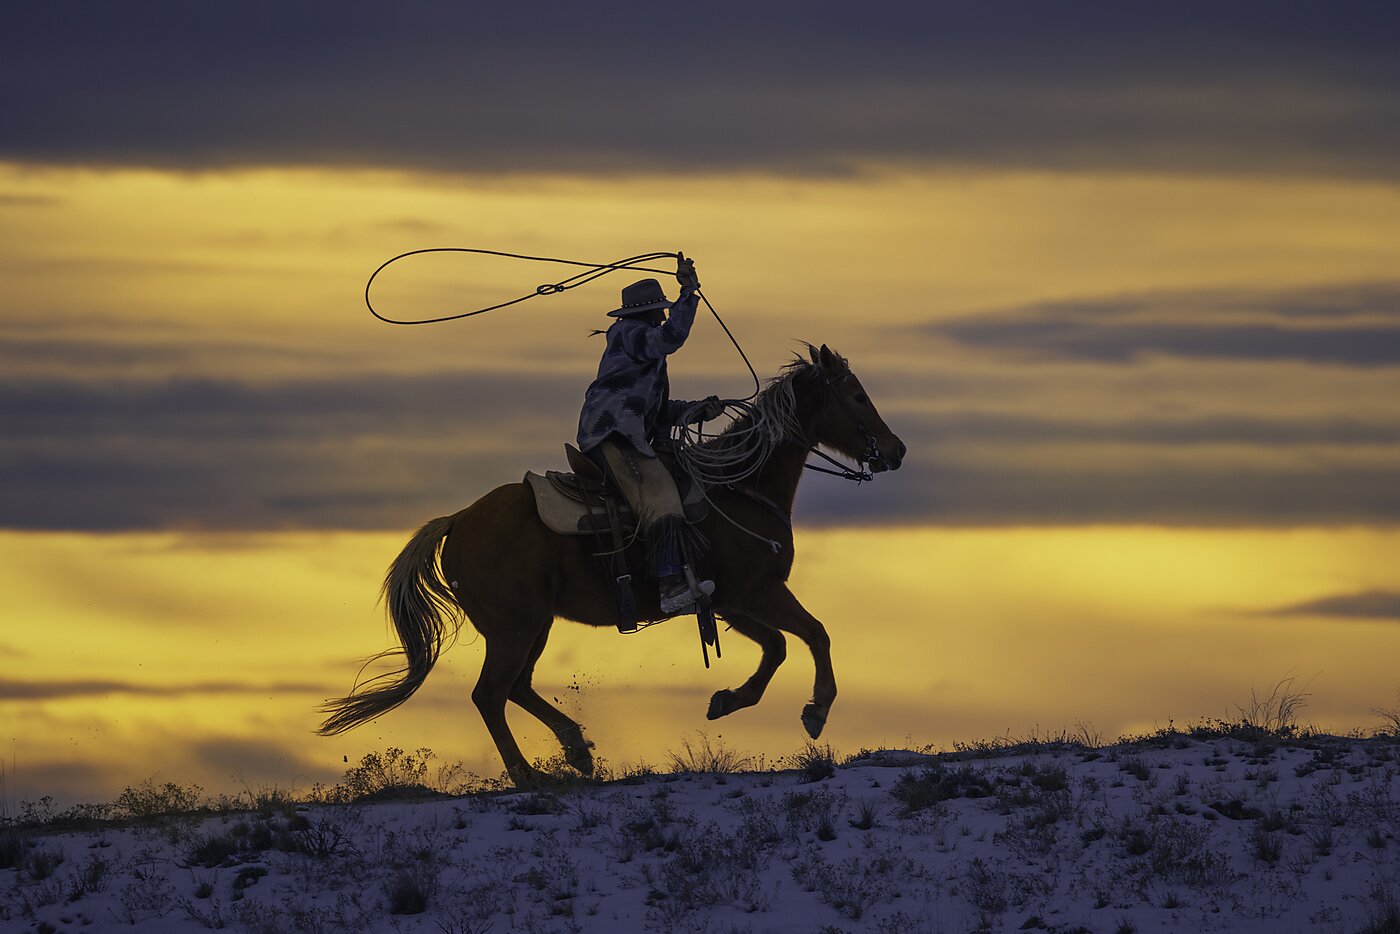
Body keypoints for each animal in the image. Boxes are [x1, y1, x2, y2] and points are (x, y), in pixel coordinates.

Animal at [317, 340, 907, 784]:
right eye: (857, 395)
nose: (896, 450)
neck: (739, 486)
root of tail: (459, 520)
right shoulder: (755, 592)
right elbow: (813, 634)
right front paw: (817, 710)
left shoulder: (732, 603)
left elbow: (779, 647)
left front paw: (726, 700)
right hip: (513, 628)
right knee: (490, 695)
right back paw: (529, 775)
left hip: (534, 626)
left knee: (517, 688)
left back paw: (577, 750)